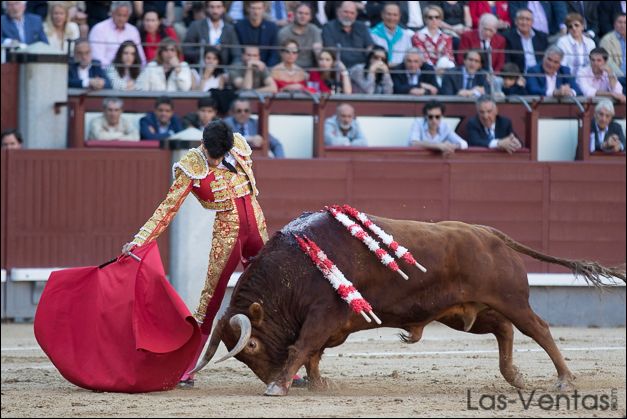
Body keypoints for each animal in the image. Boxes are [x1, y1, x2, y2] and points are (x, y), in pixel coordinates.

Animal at [193, 213, 627, 398]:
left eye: (250, 345)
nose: (269, 378)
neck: (295, 267)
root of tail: (489, 233)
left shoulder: (322, 315)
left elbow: (303, 347)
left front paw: (280, 387)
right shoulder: (330, 323)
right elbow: (313, 353)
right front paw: (317, 383)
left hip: (511, 299)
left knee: (537, 328)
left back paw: (564, 379)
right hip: (466, 313)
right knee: (503, 330)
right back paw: (515, 376)